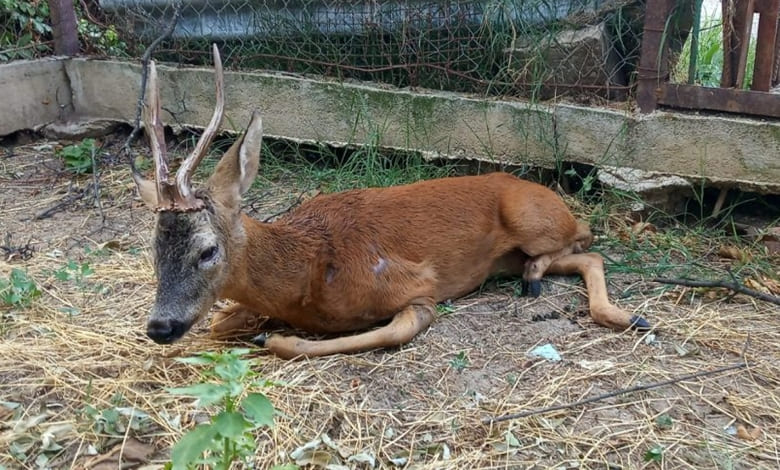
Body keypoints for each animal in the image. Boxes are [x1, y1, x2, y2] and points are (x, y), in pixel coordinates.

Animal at [134, 45, 652, 360]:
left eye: (207, 251)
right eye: (153, 250)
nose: (159, 327)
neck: (308, 271)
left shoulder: (417, 284)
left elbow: (387, 330)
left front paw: (272, 335)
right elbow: (217, 323)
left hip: (531, 218)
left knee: (585, 240)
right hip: (512, 253)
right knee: (586, 254)